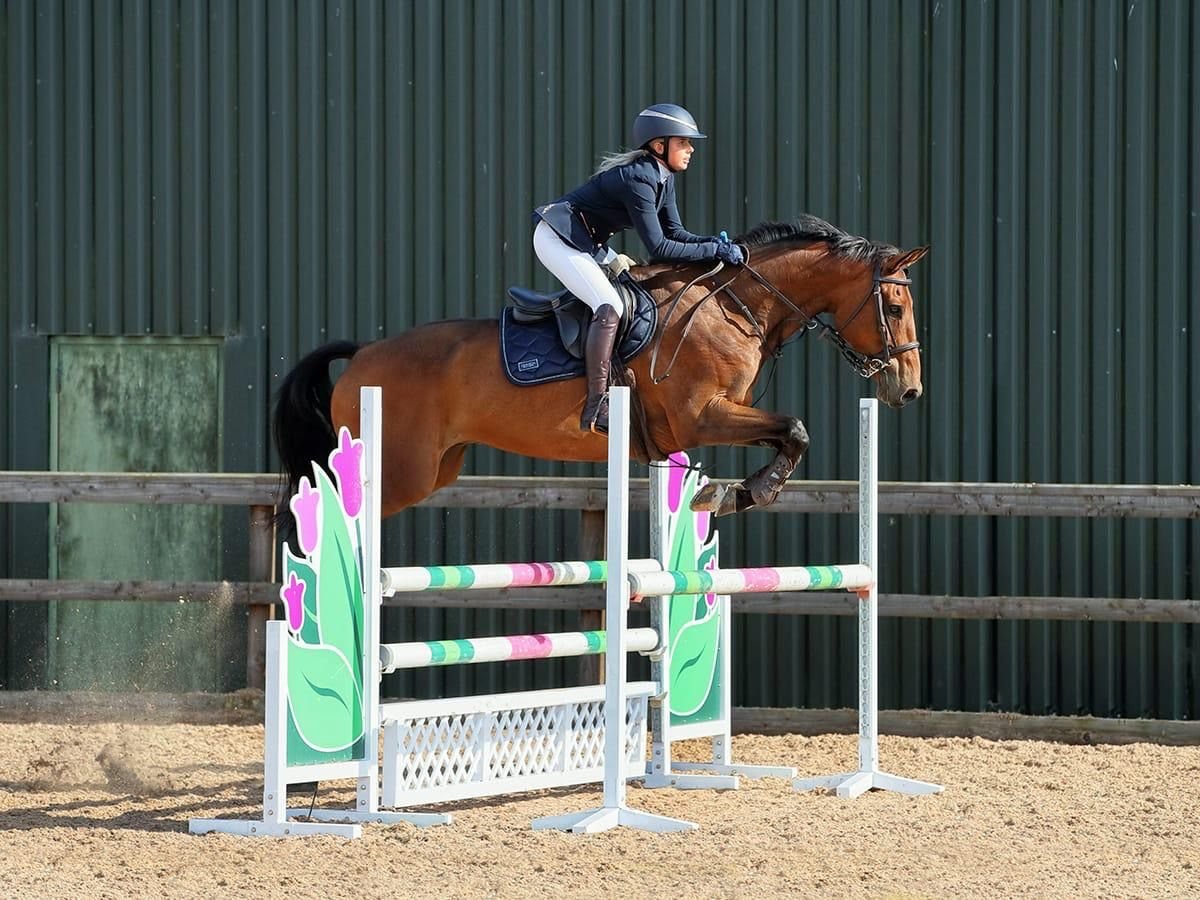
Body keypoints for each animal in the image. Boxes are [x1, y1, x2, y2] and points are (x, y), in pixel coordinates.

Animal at [274, 213, 926, 518]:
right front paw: (744, 493)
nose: (909, 391)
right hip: (399, 471)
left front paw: (732, 493)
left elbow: (789, 434)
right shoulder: (700, 417)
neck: (734, 304)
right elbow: (795, 427)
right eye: (895, 307)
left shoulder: (713, 420)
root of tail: (362, 355)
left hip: (436, 468)